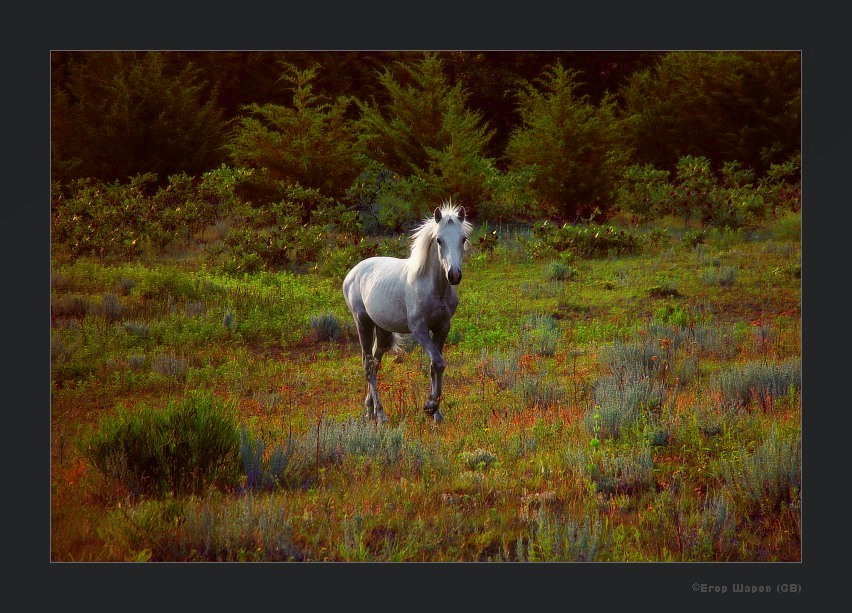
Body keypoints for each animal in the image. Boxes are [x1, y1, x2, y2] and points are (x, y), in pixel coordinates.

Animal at [342, 201, 472, 420]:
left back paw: (370, 411)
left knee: (375, 363)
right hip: (363, 322)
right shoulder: (419, 329)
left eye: (463, 239)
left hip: (383, 330)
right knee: (368, 366)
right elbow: (438, 362)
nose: (454, 275)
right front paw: (430, 406)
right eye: (439, 240)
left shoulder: (442, 327)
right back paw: (380, 414)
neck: (434, 288)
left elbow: (435, 365)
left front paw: (436, 413)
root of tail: (353, 272)